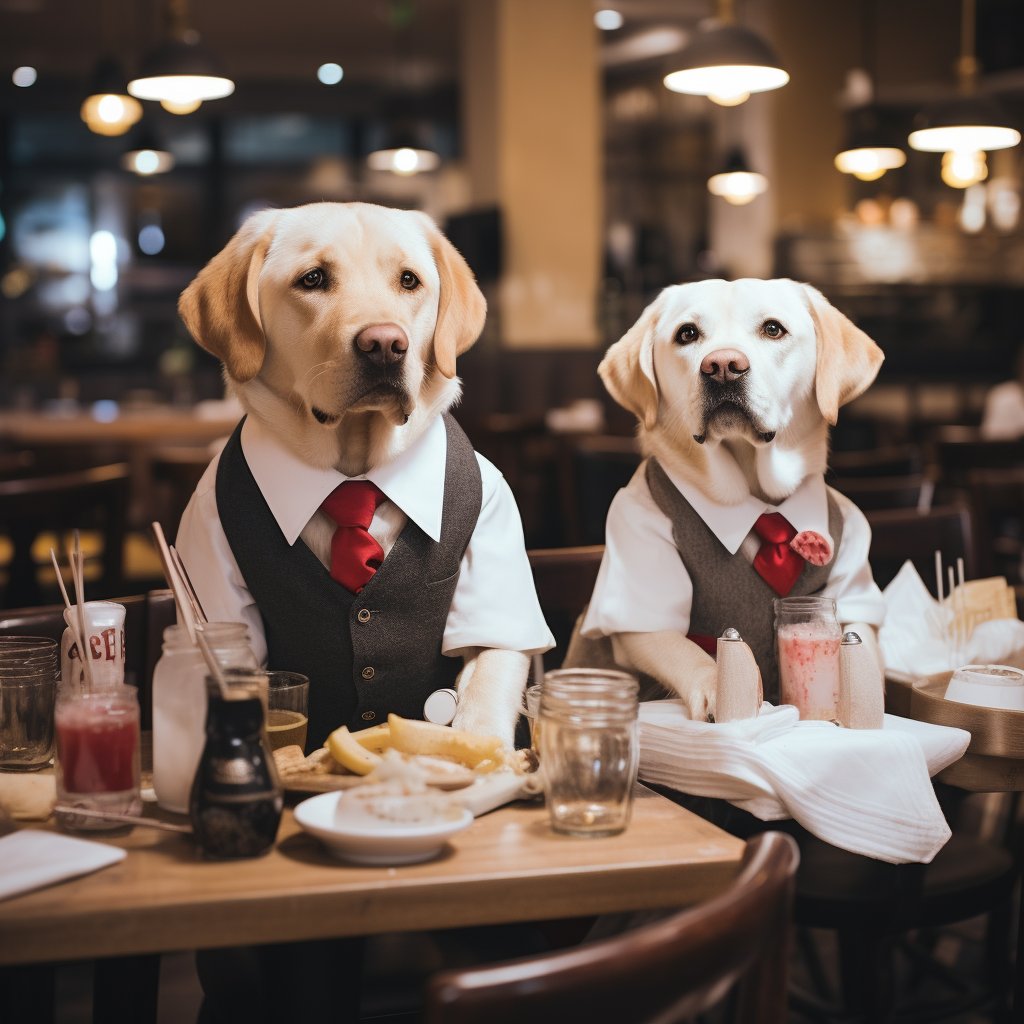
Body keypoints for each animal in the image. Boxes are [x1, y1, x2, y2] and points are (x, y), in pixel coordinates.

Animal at [179, 199, 557, 749]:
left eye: (409, 280)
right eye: (313, 279)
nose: (384, 344)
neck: (355, 466)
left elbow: (485, 684)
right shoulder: (204, 542)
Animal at [577, 280, 888, 720]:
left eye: (773, 329)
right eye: (687, 334)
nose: (722, 366)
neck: (757, 496)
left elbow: (860, 643)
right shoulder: (636, 573)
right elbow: (685, 648)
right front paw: (719, 686)